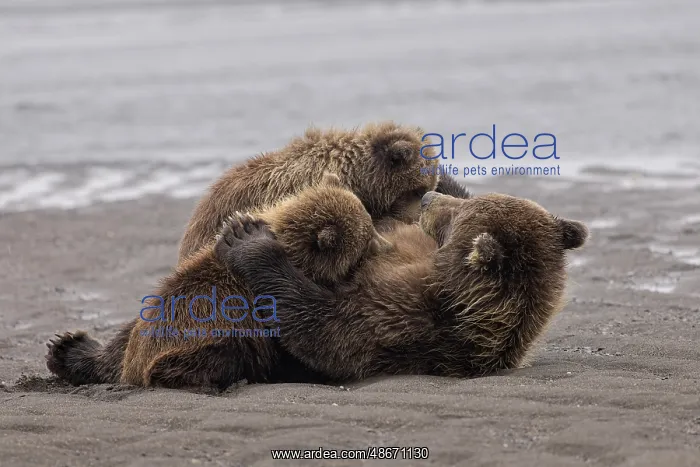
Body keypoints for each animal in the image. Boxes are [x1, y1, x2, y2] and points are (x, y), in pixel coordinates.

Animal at [46, 174, 390, 389]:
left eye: (370, 224)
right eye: (368, 236)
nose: (386, 244)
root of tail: (133, 369)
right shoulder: (261, 316)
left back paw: (65, 349)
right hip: (204, 344)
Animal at [218, 190, 589, 381]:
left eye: (457, 214)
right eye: (467, 201)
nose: (427, 197)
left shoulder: (407, 319)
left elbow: (324, 327)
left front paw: (248, 238)